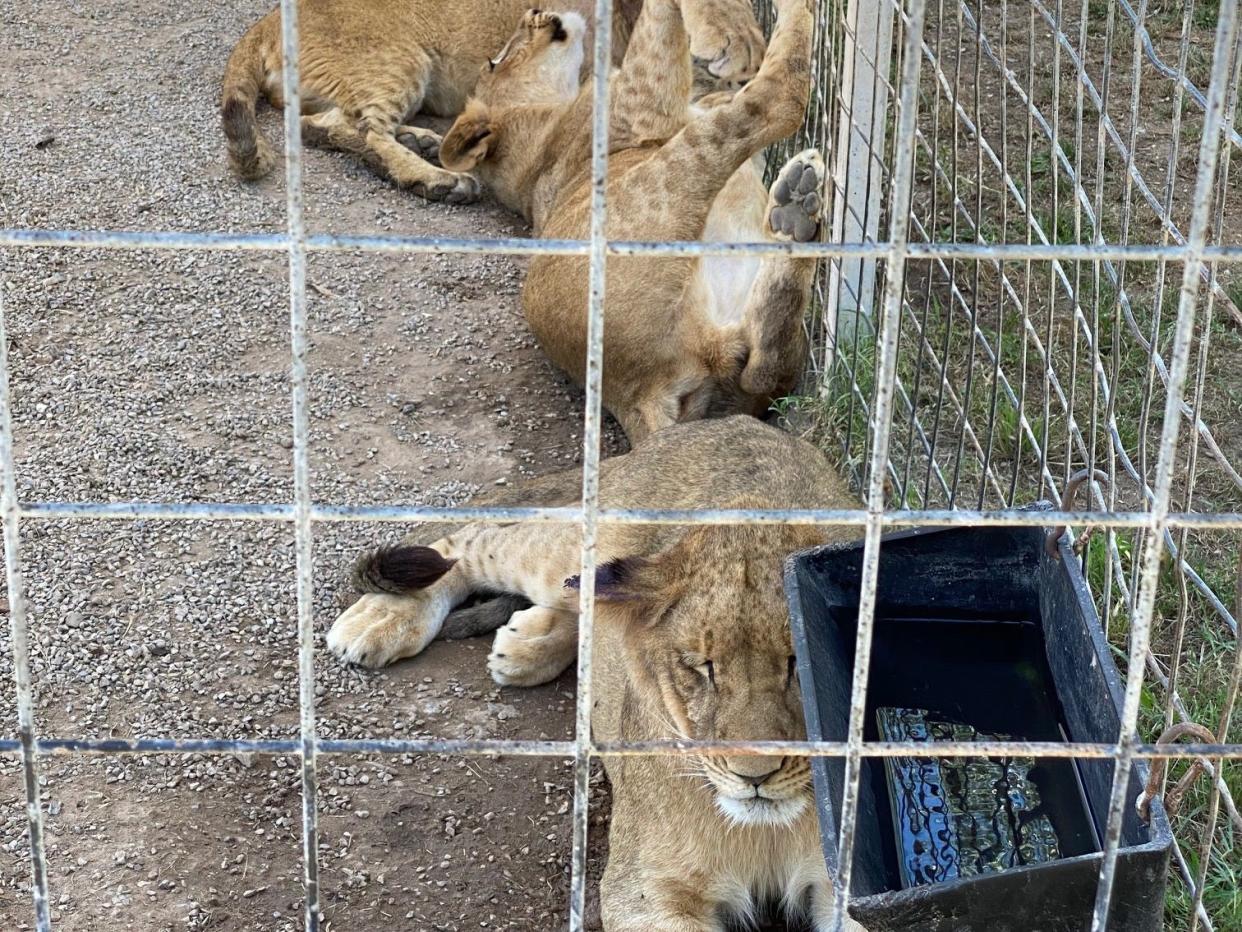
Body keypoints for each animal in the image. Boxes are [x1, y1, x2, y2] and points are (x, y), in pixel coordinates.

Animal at [222, 0, 765, 202]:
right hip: (398, 59)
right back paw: (436, 179)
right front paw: (737, 37)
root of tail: (269, 19)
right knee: (362, 128)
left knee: (325, 125)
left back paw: (421, 143)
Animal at [327, 420, 864, 929]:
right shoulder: (644, 889)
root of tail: (728, 422)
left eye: (798, 664)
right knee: (474, 540)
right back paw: (380, 619)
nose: (754, 776)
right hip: (570, 547)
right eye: (701, 667)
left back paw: (526, 645)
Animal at [437, 0, 824, 442]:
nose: (532, 12)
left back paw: (795, 211)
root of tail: (633, 394)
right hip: (659, 184)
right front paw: (728, 33)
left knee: (767, 370)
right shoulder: (646, 97)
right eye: (494, 61)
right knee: (778, 101)